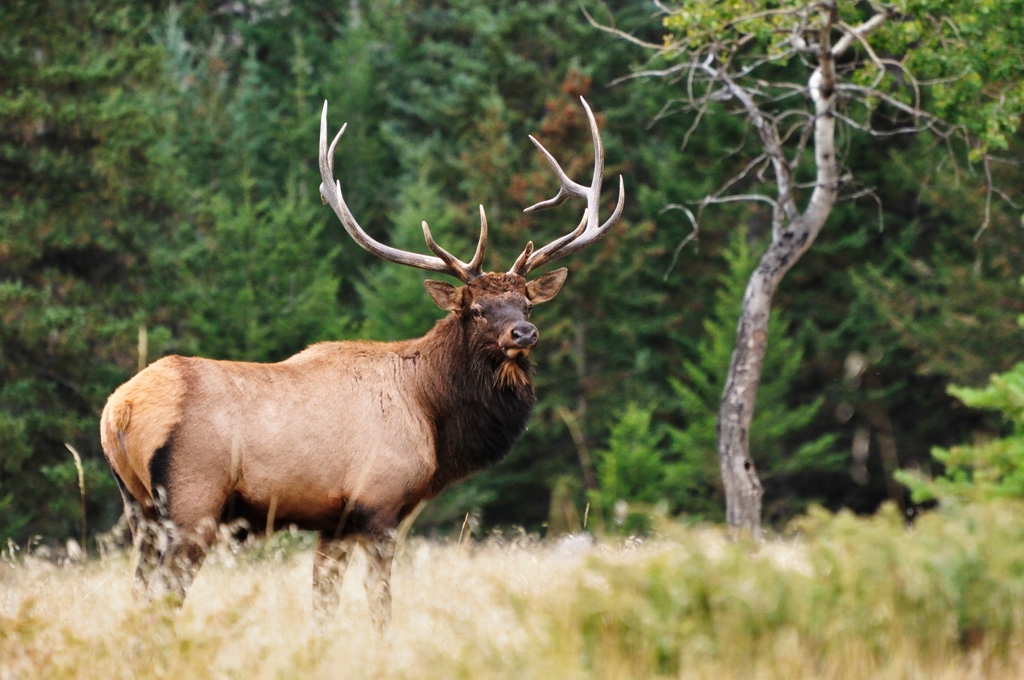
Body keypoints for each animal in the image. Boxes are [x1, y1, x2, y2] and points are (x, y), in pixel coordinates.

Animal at [99, 97, 624, 632]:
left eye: (527, 304)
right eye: (476, 308)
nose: (523, 334)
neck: (432, 414)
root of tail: (120, 411)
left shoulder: (335, 521)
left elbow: (323, 604)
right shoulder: (381, 503)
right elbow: (380, 604)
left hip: (140, 507)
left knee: (138, 590)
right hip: (193, 500)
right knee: (164, 594)